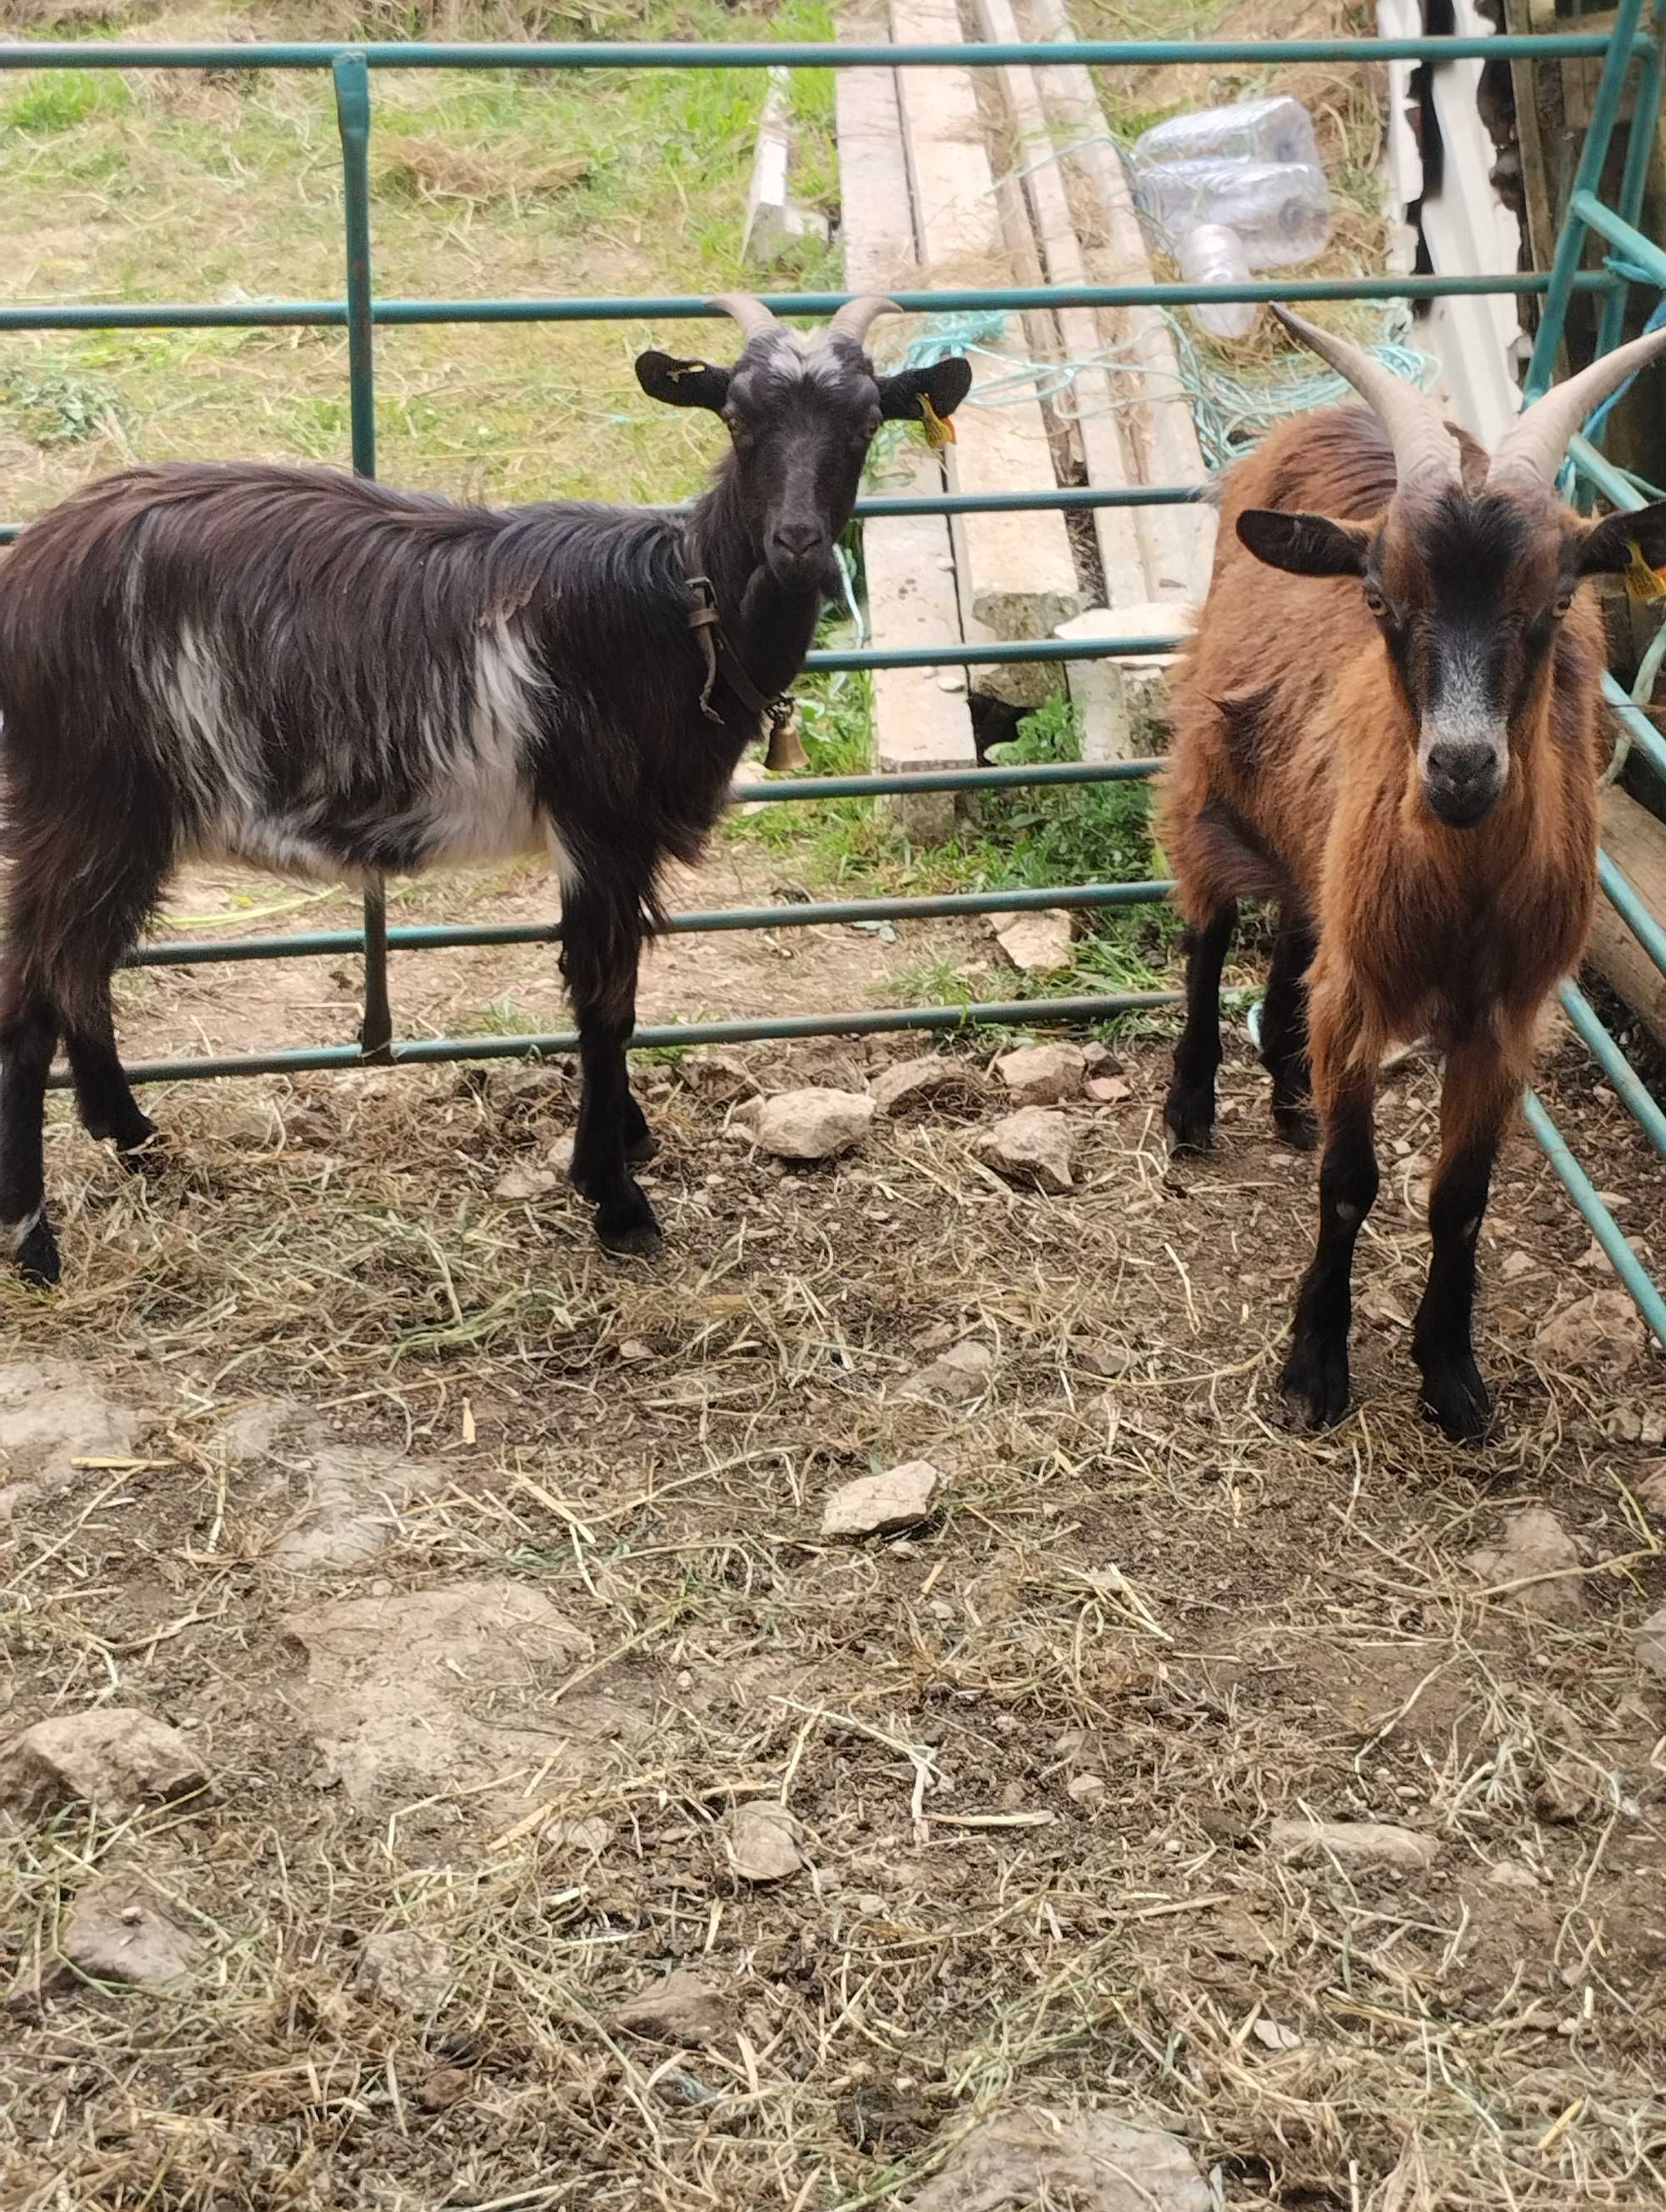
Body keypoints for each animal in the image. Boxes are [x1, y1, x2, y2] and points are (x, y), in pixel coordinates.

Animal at [0, 289, 969, 1283]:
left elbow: (605, 995)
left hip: (128, 813)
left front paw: (624, 1138)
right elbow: (606, 1001)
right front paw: (614, 1196)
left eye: (865, 423)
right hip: (83, 797)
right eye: (735, 417)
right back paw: (35, 1240)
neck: (679, 610)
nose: (799, 544)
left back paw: (136, 1138)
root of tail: (27, 572)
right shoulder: (600, 825)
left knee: (80, 972)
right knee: (29, 1003)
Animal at [1159, 316, 1664, 1451]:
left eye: (1556, 600)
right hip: (1208, 767)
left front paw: (1450, 1374)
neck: (1462, 900)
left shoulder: (1503, 1015)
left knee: (1293, 928)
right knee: (1209, 927)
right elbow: (1349, 1185)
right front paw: (1312, 1367)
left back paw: (1287, 1089)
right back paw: (1191, 1104)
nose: (1460, 768)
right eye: (1378, 598)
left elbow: (1459, 1198)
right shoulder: (1361, 996)